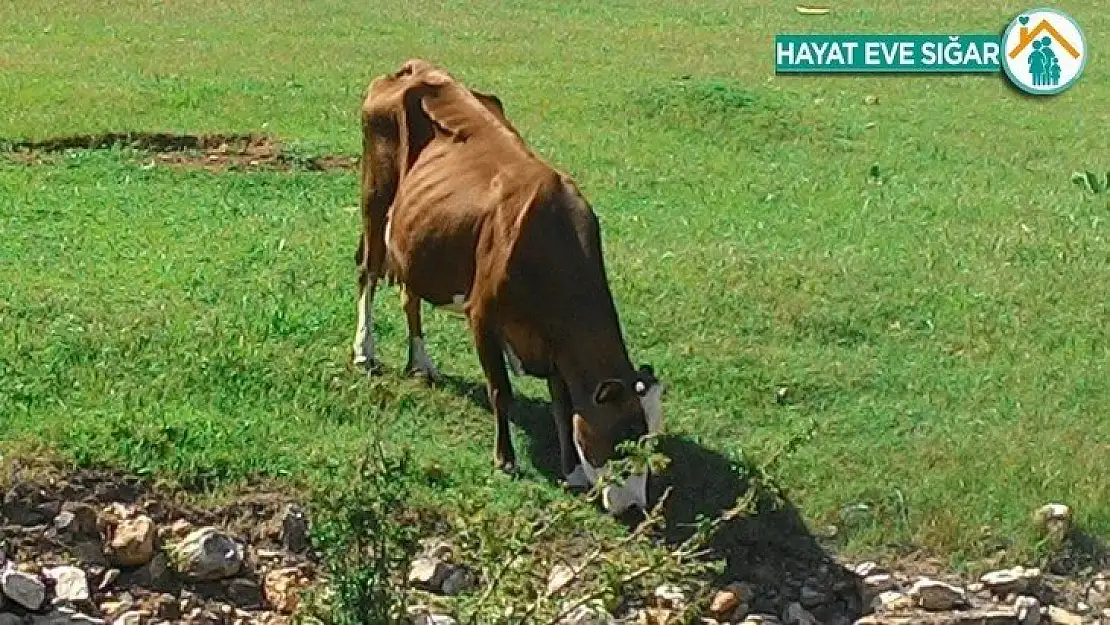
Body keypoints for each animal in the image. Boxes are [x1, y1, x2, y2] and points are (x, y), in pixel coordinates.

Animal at [350, 58, 661, 515]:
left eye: (651, 445)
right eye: (621, 444)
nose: (637, 508)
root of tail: (416, 67)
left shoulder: (554, 344)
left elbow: (562, 404)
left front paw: (571, 471)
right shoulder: (483, 317)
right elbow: (501, 391)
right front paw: (506, 460)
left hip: (416, 237)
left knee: (411, 294)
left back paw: (421, 363)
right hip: (376, 197)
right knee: (368, 274)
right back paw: (364, 350)